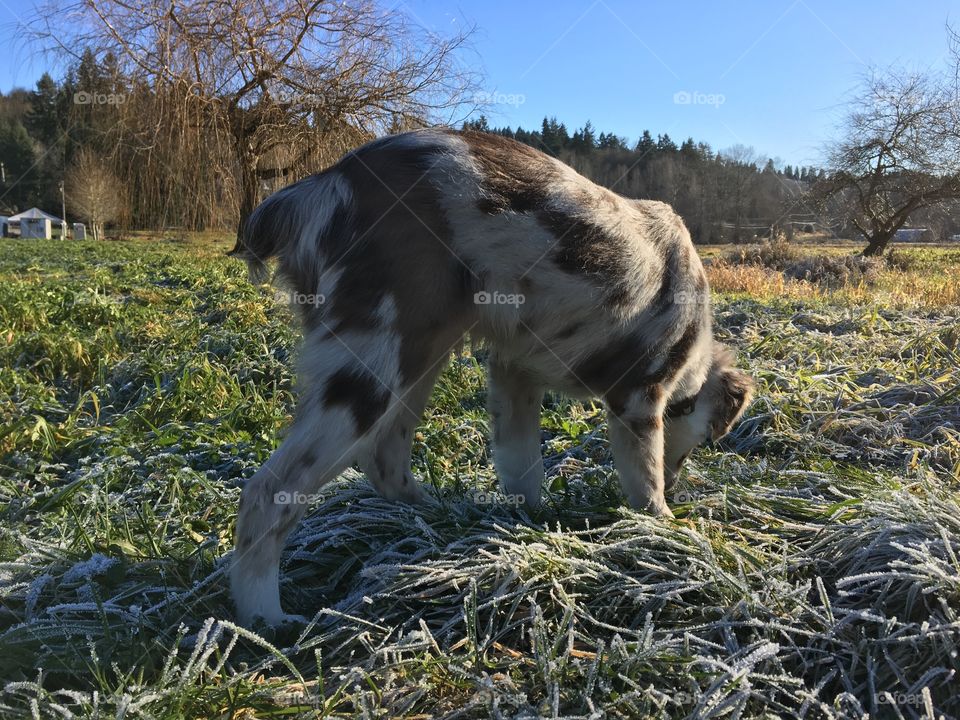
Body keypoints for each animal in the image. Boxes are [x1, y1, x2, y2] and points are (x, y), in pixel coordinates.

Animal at [229, 129, 752, 624]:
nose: (679, 482)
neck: (693, 345)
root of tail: (324, 181)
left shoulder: (514, 373)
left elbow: (522, 464)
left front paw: (530, 526)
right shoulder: (638, 397)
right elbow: (643, 481)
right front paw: (666, 529)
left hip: (423, 350)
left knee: (385, 458)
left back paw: (436, 516)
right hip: (370, 364)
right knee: (268, 494)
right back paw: (265, 618)